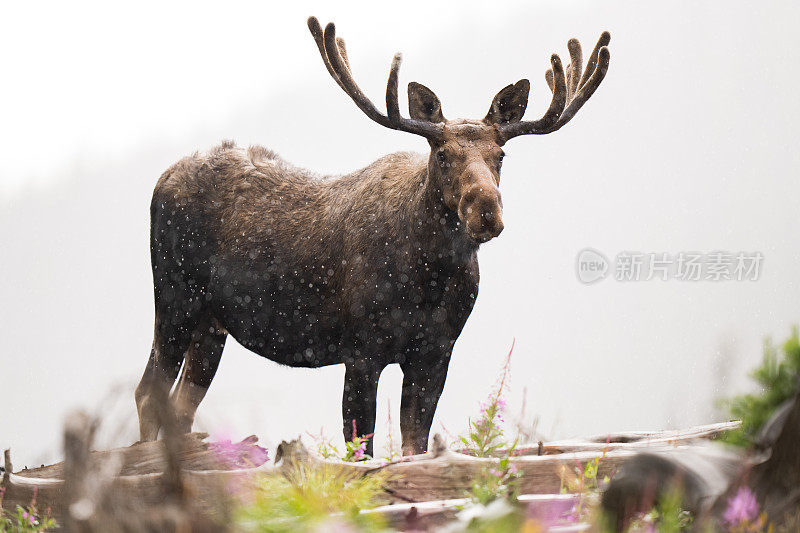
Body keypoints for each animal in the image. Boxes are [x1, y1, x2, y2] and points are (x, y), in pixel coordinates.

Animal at [136, 18, 612, 456]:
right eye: (442, 154)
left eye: (500, 155)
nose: (486, 211)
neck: (429, 281)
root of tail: (160, 180)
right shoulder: (361, 349)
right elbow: (360, 450)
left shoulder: (437, 352)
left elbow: (415, 446)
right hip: (175, 295)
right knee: (148, 392)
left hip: (212, 323)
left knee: (181, 405)